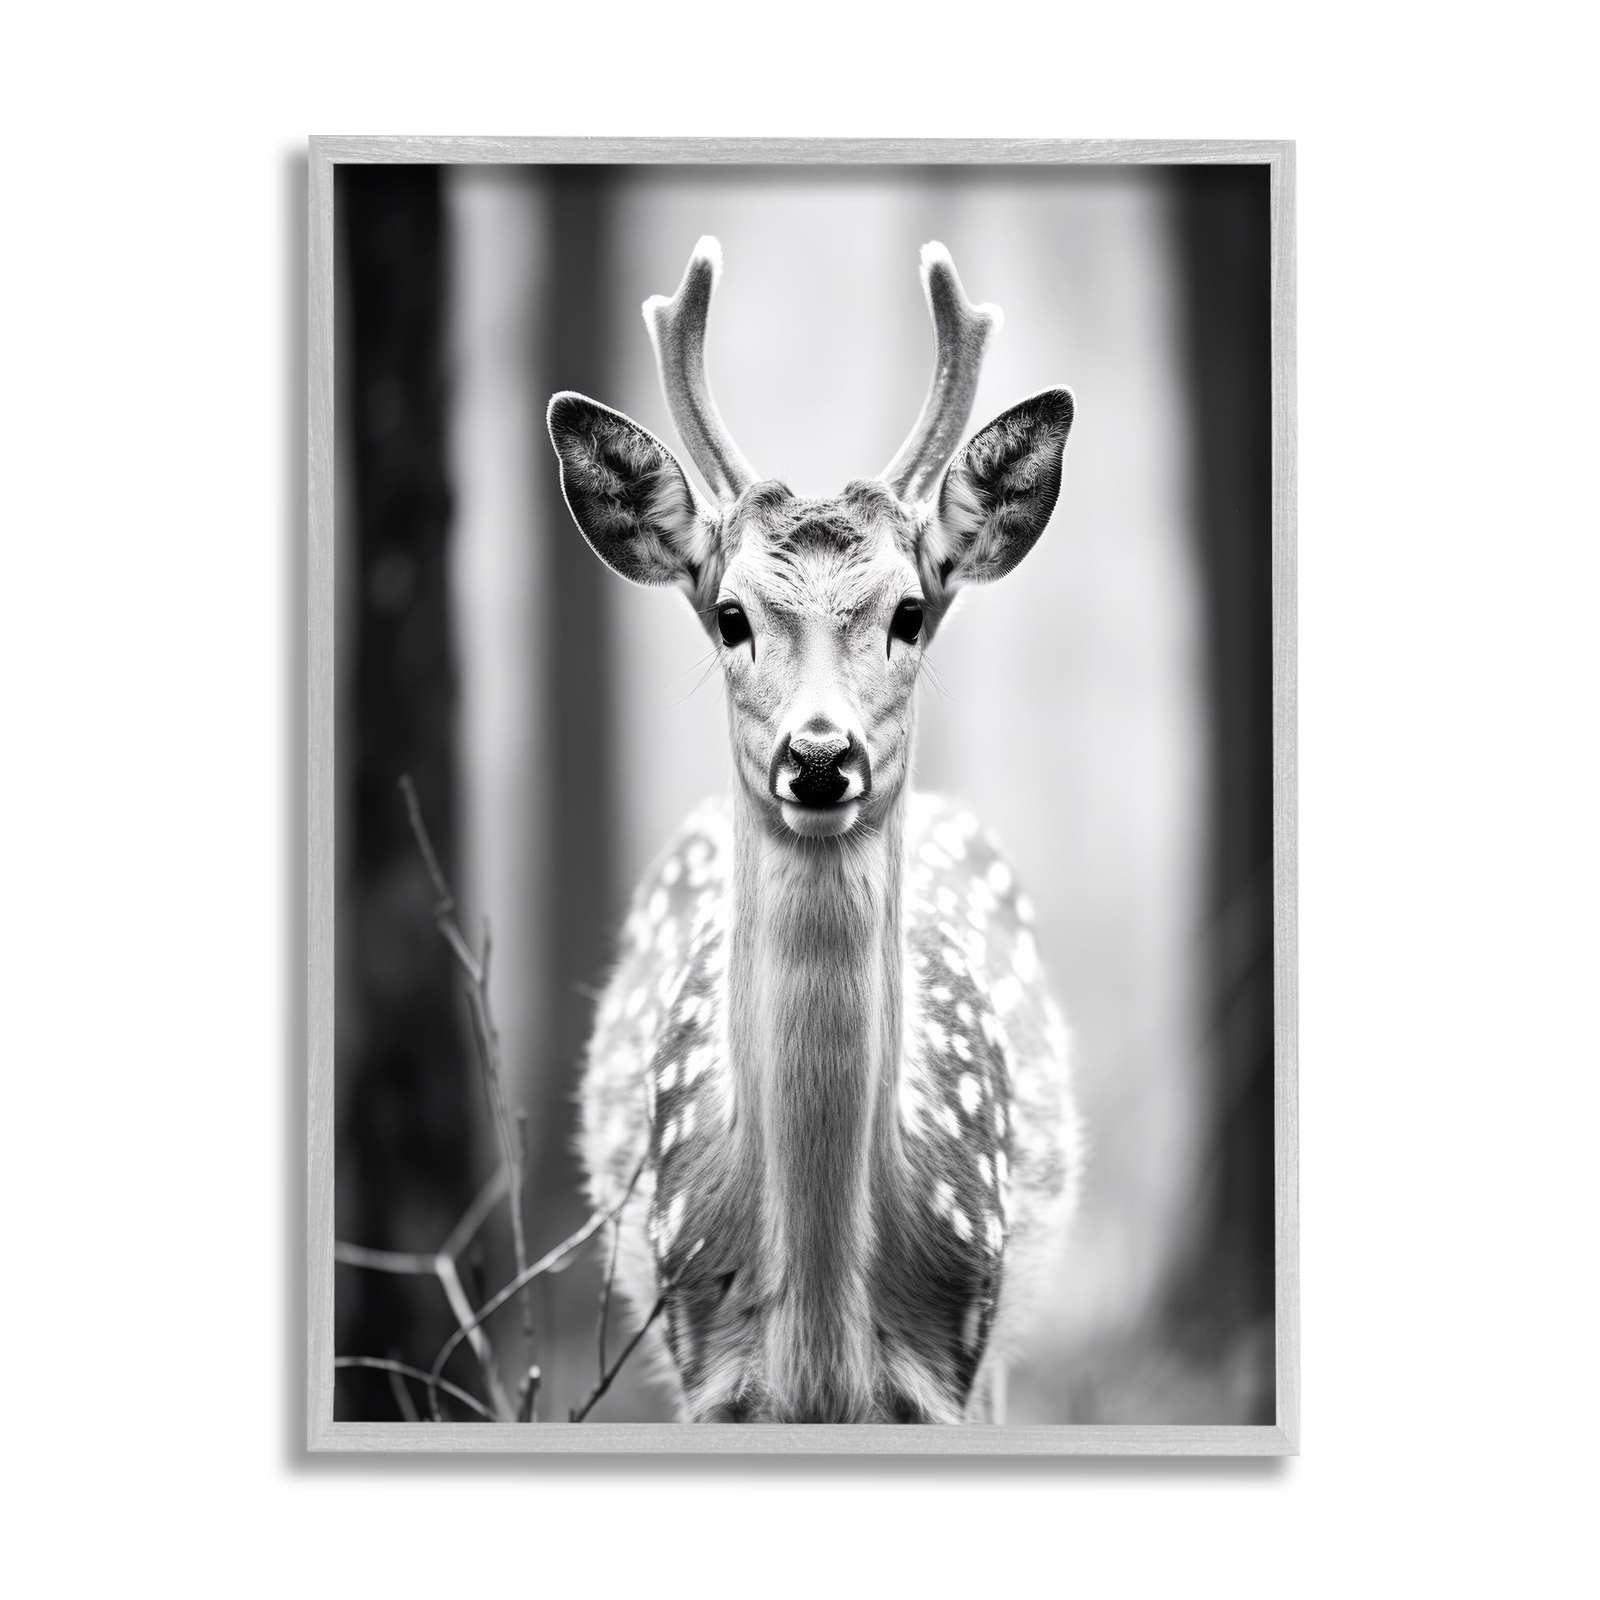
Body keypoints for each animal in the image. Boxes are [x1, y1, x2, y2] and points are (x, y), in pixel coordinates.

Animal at [547, 237, 1082, 1424]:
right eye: (730, 615)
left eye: (910, 612)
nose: (823, 757)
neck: (823, 1327)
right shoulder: (700, 1360)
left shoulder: (955, 1362)